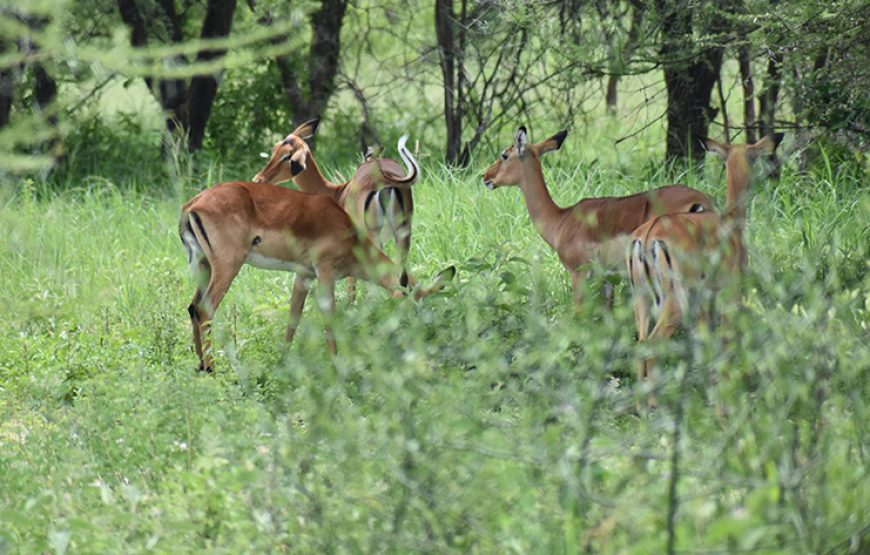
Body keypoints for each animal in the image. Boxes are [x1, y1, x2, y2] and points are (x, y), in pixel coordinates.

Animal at [181, 184, 460, 374]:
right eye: (406, 305)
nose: (417, 339)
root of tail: (192, 205)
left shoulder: (303, 275)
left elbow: (293, 317)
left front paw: (283, 360)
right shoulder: (325, 272)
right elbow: (329, 319)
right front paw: (338, 364)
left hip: (204, 268)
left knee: (193, 307)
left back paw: (201, 367)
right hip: (227, 267)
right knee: (205, 310)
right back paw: (213, 370)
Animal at [254, 118, 420, 300]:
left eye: (287, 157)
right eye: (274, 149)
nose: (258, 179)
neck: (335, 192)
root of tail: (386, 180)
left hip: (372, 236)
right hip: (402, 233)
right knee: (401, 276)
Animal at [480, 127, 720, 312]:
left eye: (504, 155)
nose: (485, 176)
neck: (561, 220)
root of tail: (702, 203)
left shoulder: (579, 274)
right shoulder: (607, 277)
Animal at [628, 134, 792, 412]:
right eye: (755, 156)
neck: (730, 223)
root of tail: (648, 235)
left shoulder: (705, 301)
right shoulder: (729, 294)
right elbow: (725, 340)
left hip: (643, 299)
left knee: (640, 343)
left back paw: (640, 407)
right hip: (673, 302)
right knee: (653, 344)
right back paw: (654, 406)